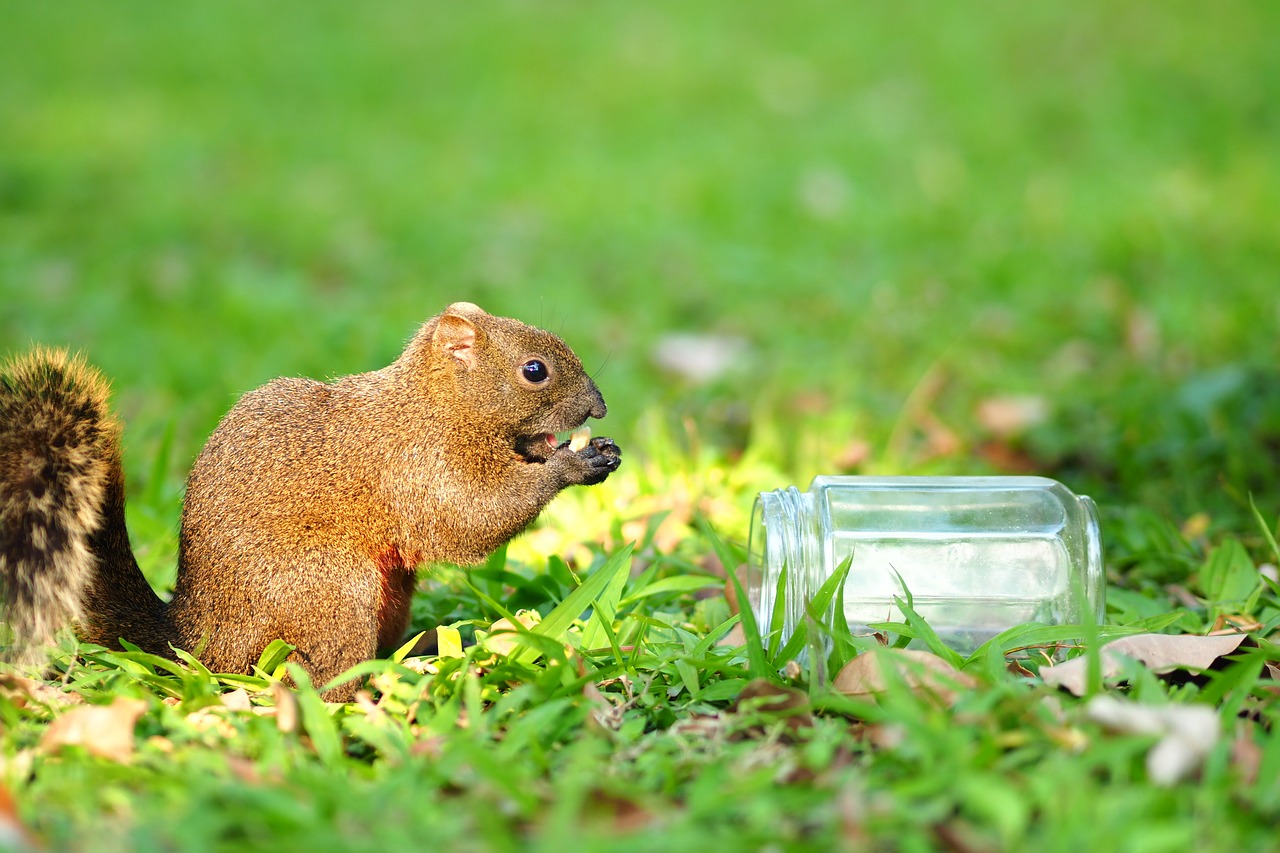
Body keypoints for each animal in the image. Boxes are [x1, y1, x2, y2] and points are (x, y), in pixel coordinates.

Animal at [0, 302, 619, 696]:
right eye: (534, 371)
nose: (601, 407)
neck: (433, 404)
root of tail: (196, 641)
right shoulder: (418, 467)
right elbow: (470, 520)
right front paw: (574, 463)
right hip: (332, 590)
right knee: (317, 678)